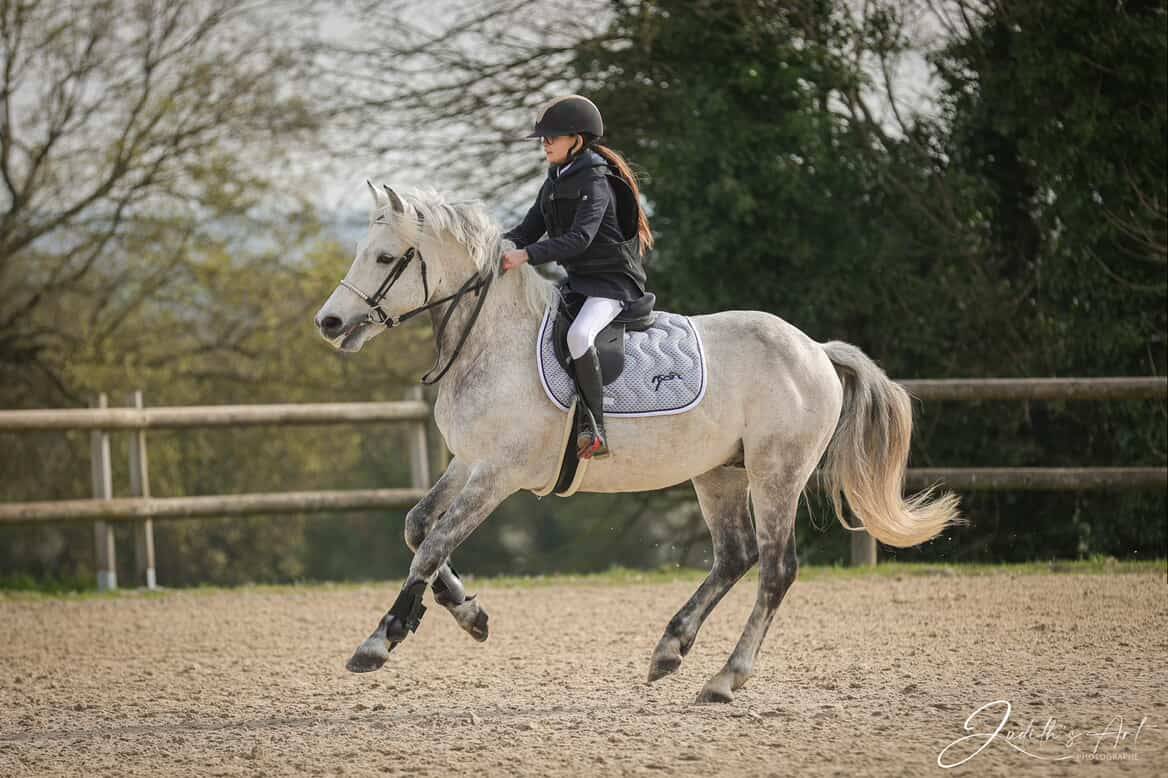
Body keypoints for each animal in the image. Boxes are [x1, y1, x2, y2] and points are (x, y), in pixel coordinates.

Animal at [313, 182, 961, 704]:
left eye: (386, 257)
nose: (330, 324)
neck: (493, 340)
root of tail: (816, 351)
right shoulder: (469, 461)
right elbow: (418, 527)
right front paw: (471, 615)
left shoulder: (498, 473)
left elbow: (433, 543)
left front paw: (380, 640)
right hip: (720, 472)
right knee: (735, 556)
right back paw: (671, 648)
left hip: (778, 473)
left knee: (776, 569)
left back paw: (725, 678)